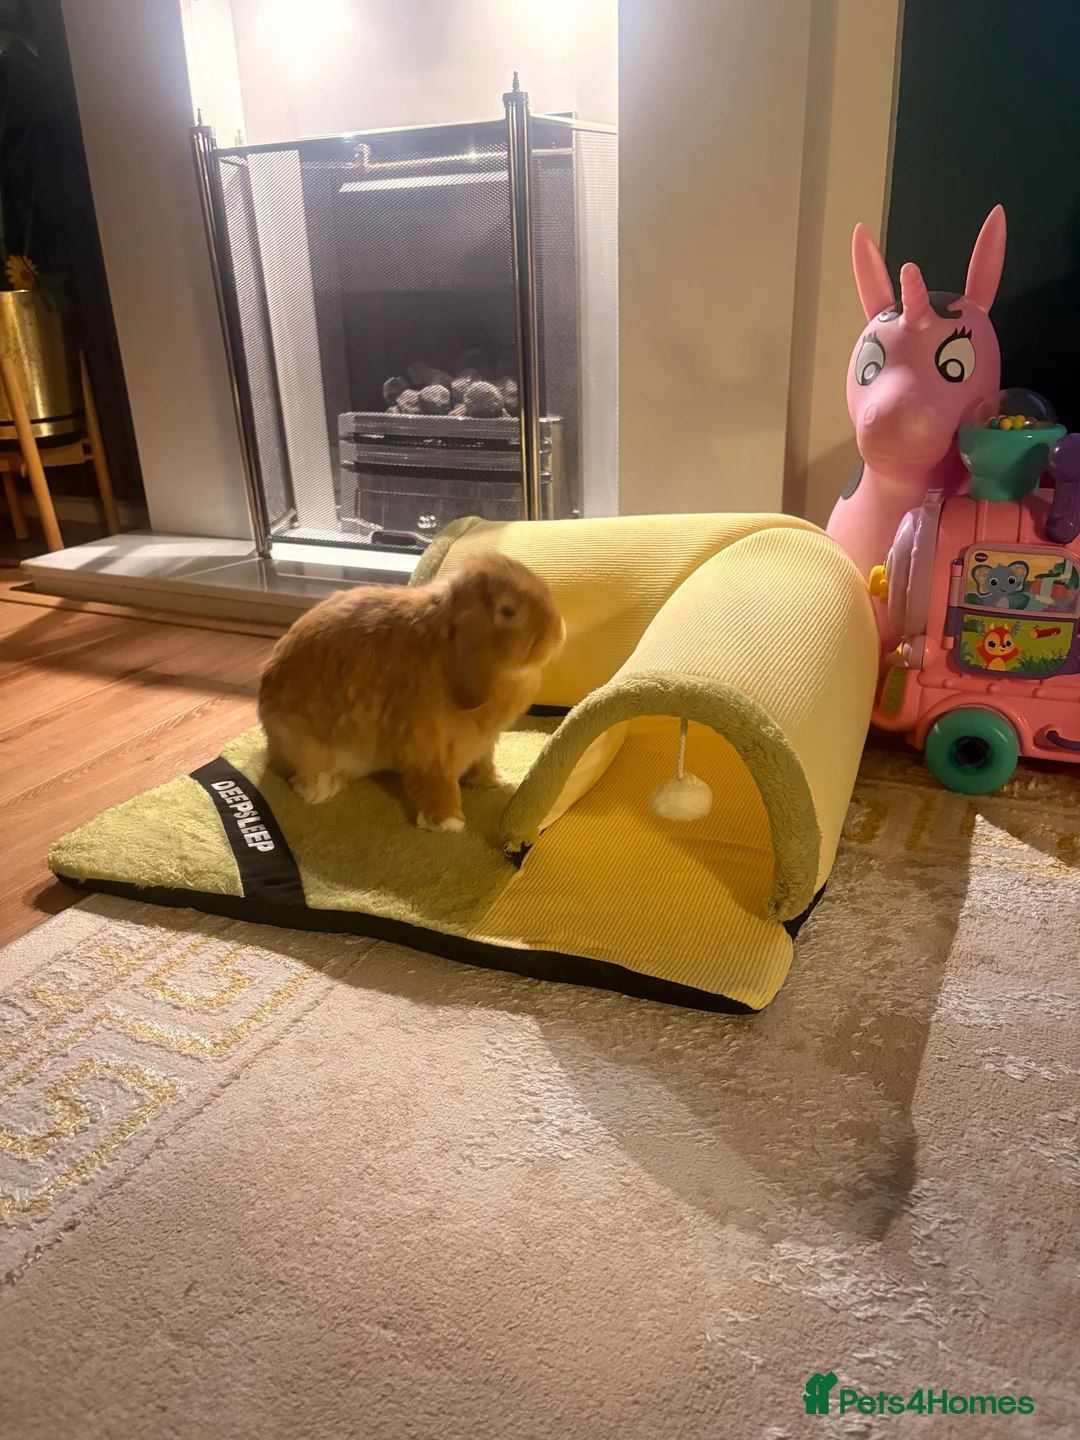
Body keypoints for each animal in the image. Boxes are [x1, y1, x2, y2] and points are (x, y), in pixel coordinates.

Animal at [258, 552, 565, 832]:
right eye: (508, 611)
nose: (558, 632)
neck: (446, 646)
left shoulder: (483, 742)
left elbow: (483, 761)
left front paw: (494, 780)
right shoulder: (430, 745)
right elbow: (437, 783)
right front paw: (447, 822)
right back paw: (322, 788)